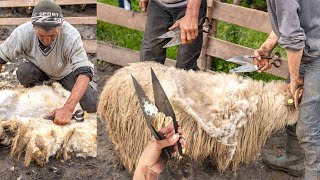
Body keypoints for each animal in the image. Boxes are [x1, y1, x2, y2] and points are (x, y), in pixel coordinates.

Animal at [97, 61, 298, 173]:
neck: (260, 104)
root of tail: (110, 86)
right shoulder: (232, 139)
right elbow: (226, 159)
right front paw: (222, 169)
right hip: (133, 131)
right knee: (130, 152)